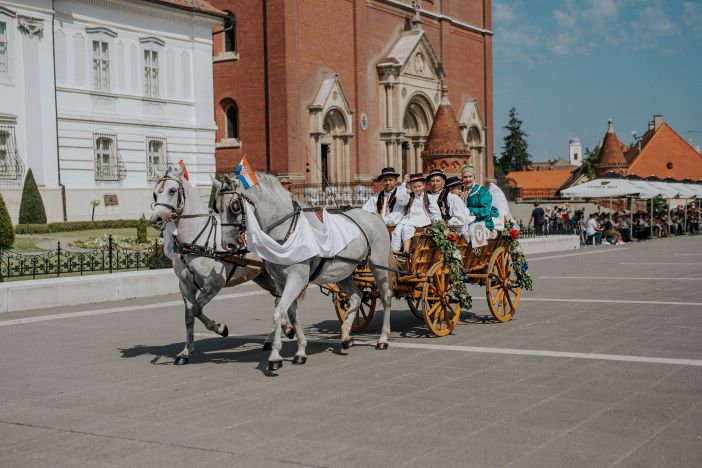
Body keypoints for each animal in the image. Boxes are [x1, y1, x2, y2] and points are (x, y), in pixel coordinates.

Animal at [150, 166, 298, 368]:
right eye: (155, 193)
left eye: (172, 191)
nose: (156, 219)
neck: (196, 240)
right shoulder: (185, 286)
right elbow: (189, 316)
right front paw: (186, 352)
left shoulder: (214, 282)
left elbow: (197, 309)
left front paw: (220, 328)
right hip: (263, 276)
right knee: (278, 298)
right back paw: (275, 336)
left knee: (281, 299)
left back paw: (285, 330)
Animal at [217, 171, 398, 370]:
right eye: (217, 206)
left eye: (234, 206)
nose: (227, 244)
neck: (286, 230)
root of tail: (374, 216)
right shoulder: (281, 282)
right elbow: (291, 313)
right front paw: (300, 350)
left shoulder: (296, 279)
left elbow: (278, 312)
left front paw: (275, 356)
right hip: (344, 271)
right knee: (357, 296)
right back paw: (346, 336)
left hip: (378, 265)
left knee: (386, 296)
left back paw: (383, 338)